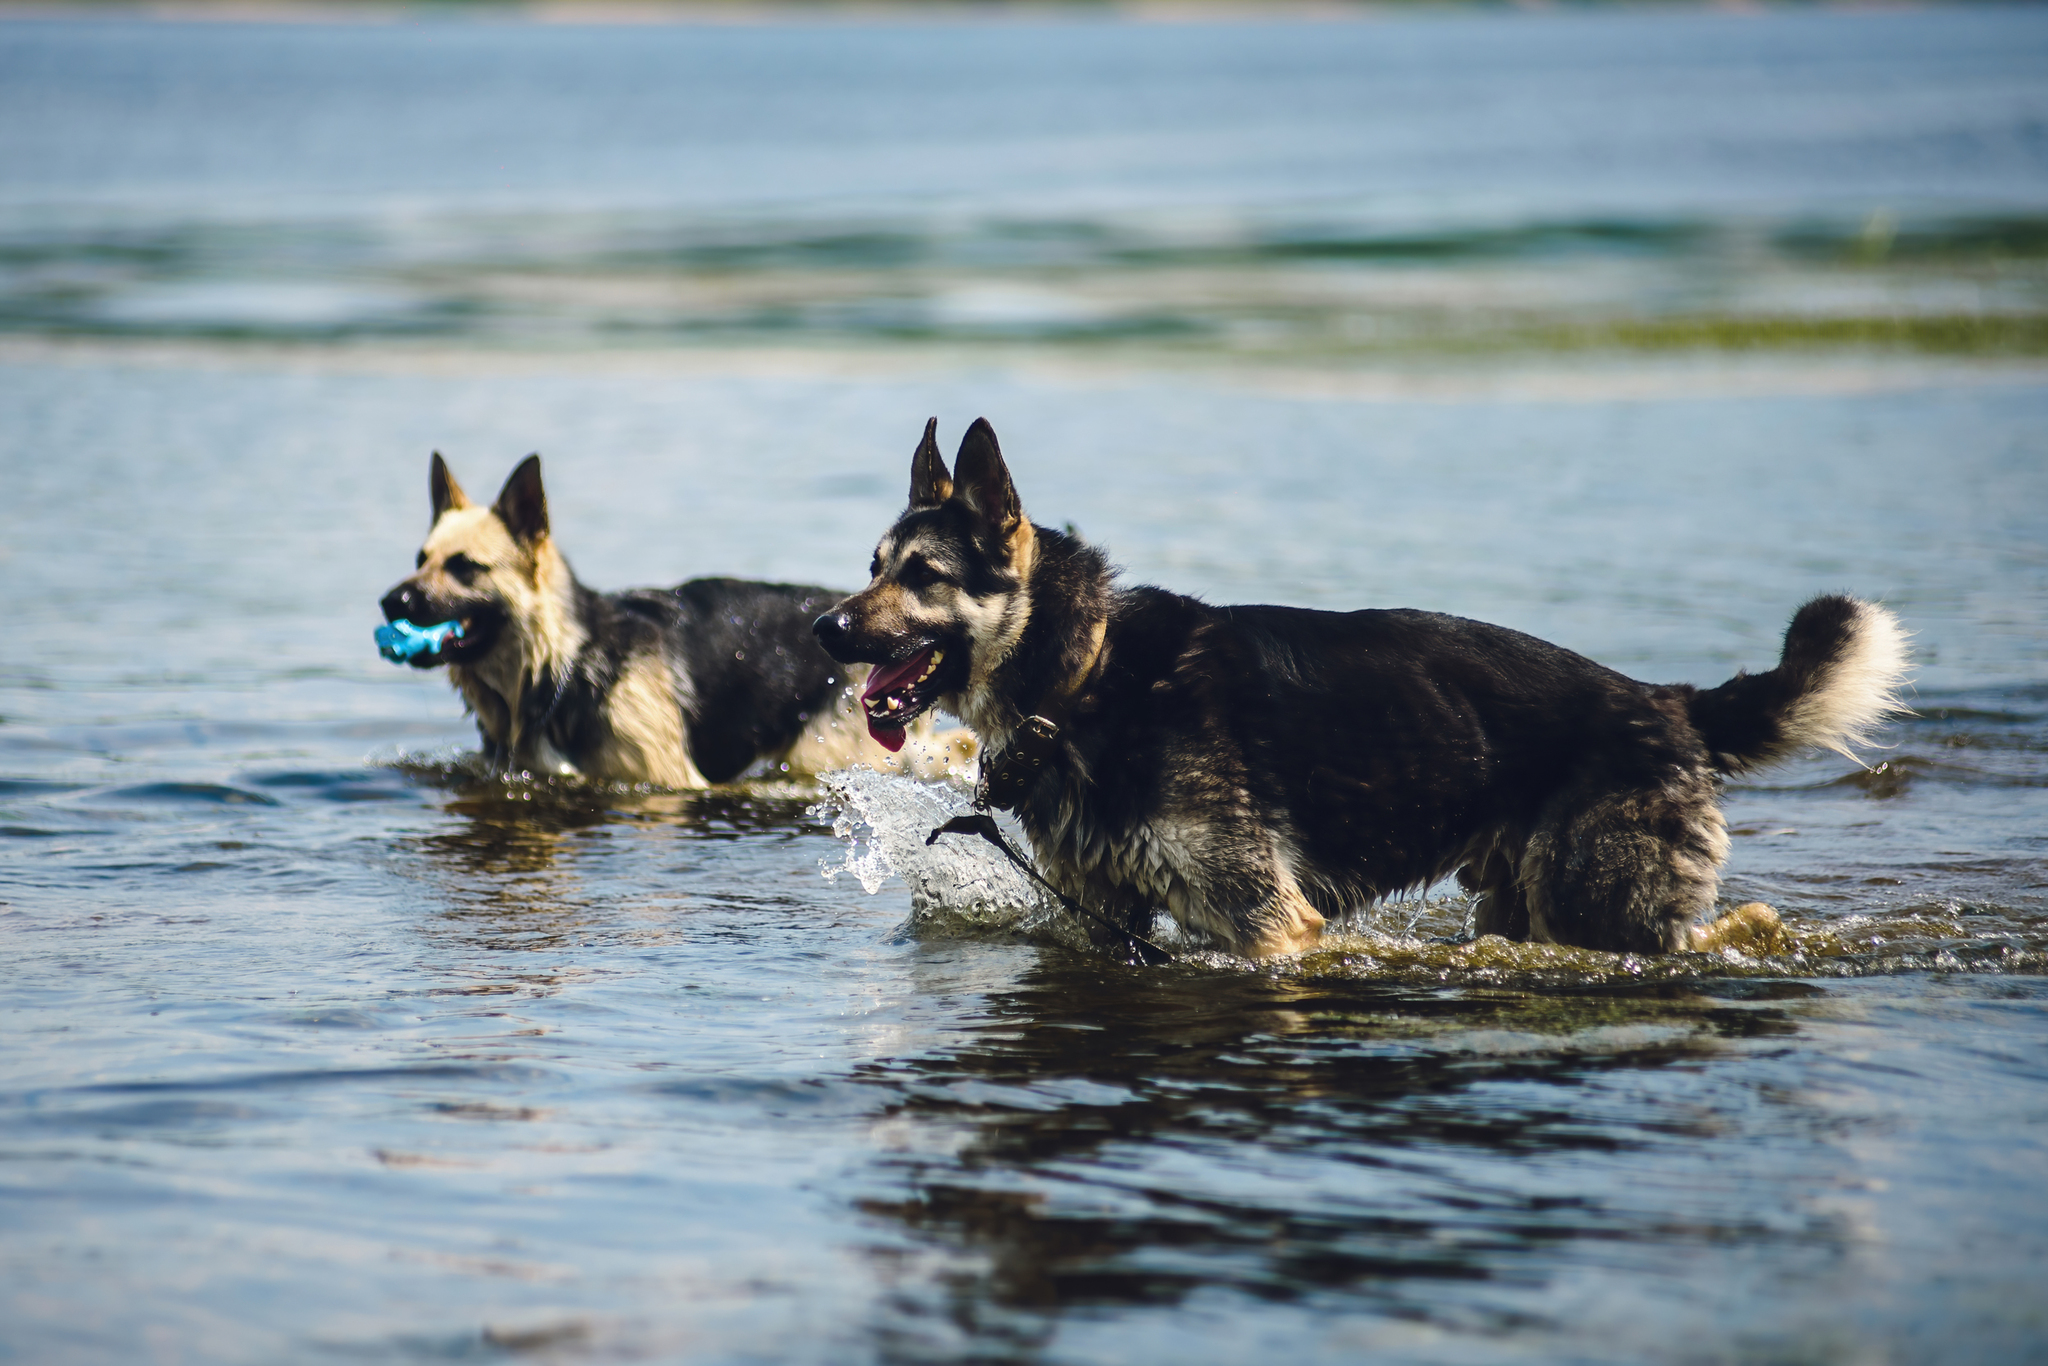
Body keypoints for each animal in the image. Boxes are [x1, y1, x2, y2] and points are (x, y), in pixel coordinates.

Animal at [806, 417, 1908, 962]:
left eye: (922, 576)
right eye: (872, 567)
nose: (824, 629)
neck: (1087, 676)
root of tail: (1664, 700)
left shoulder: (1267, 928)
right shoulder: (1109, 920)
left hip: (1601, 908)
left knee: (1727, 931)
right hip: (1525, 908)